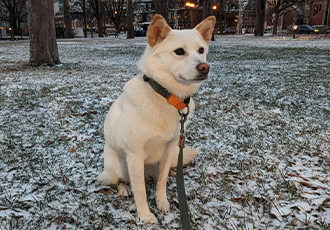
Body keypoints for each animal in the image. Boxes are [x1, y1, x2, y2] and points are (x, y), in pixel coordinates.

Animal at [98, 13, 215, 223]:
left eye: (201, 50)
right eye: (179, 51)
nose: (205, 67)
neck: (166, 96)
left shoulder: (169, 150)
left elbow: (161, 182)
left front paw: (162, 203)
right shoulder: (135, 155)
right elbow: (140, 191)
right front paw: (145, 215)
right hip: (117, 166)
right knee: (118, 180)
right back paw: (123, 188)